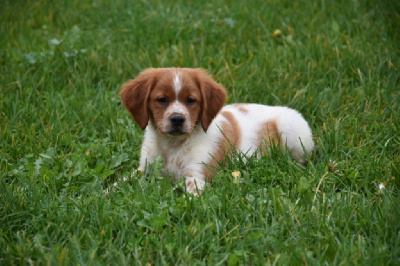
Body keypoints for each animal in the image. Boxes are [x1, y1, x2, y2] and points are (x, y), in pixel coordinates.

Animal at [120, 67, 314, 194]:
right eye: (161, 99)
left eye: (191, 100)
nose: (177, 119)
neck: (172, 145)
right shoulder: (145, 169)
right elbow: (123, 180)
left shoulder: (197, 175)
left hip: (290, 131)